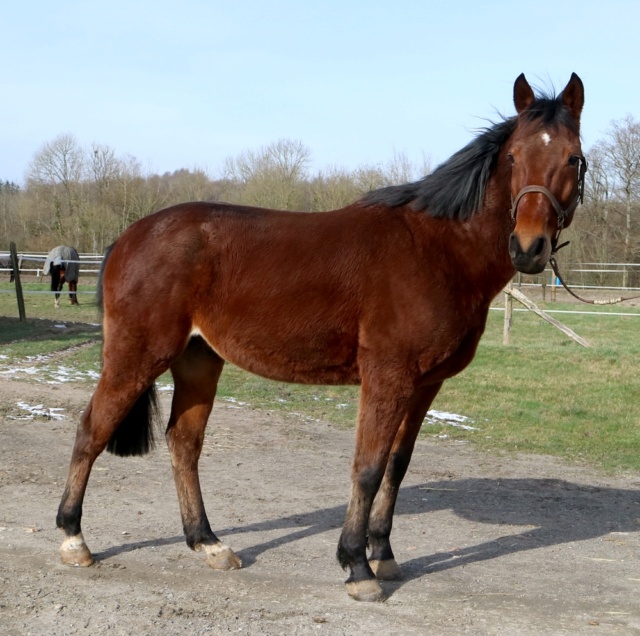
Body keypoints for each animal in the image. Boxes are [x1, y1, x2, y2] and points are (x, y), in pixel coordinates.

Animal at [57, 74, 588, 600]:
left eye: (572, 158)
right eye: (514, 157)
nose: (529, 247)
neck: (437, 249)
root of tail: (131, 237)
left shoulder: (425, 385)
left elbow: (397, 466)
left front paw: (383, 553)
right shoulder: (387, 377)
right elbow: (367, 468)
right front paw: (357, 566)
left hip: (198, 359)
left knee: (183, 443)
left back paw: (208, 543)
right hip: (137, 355)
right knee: (91, 431)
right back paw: (73, 540)